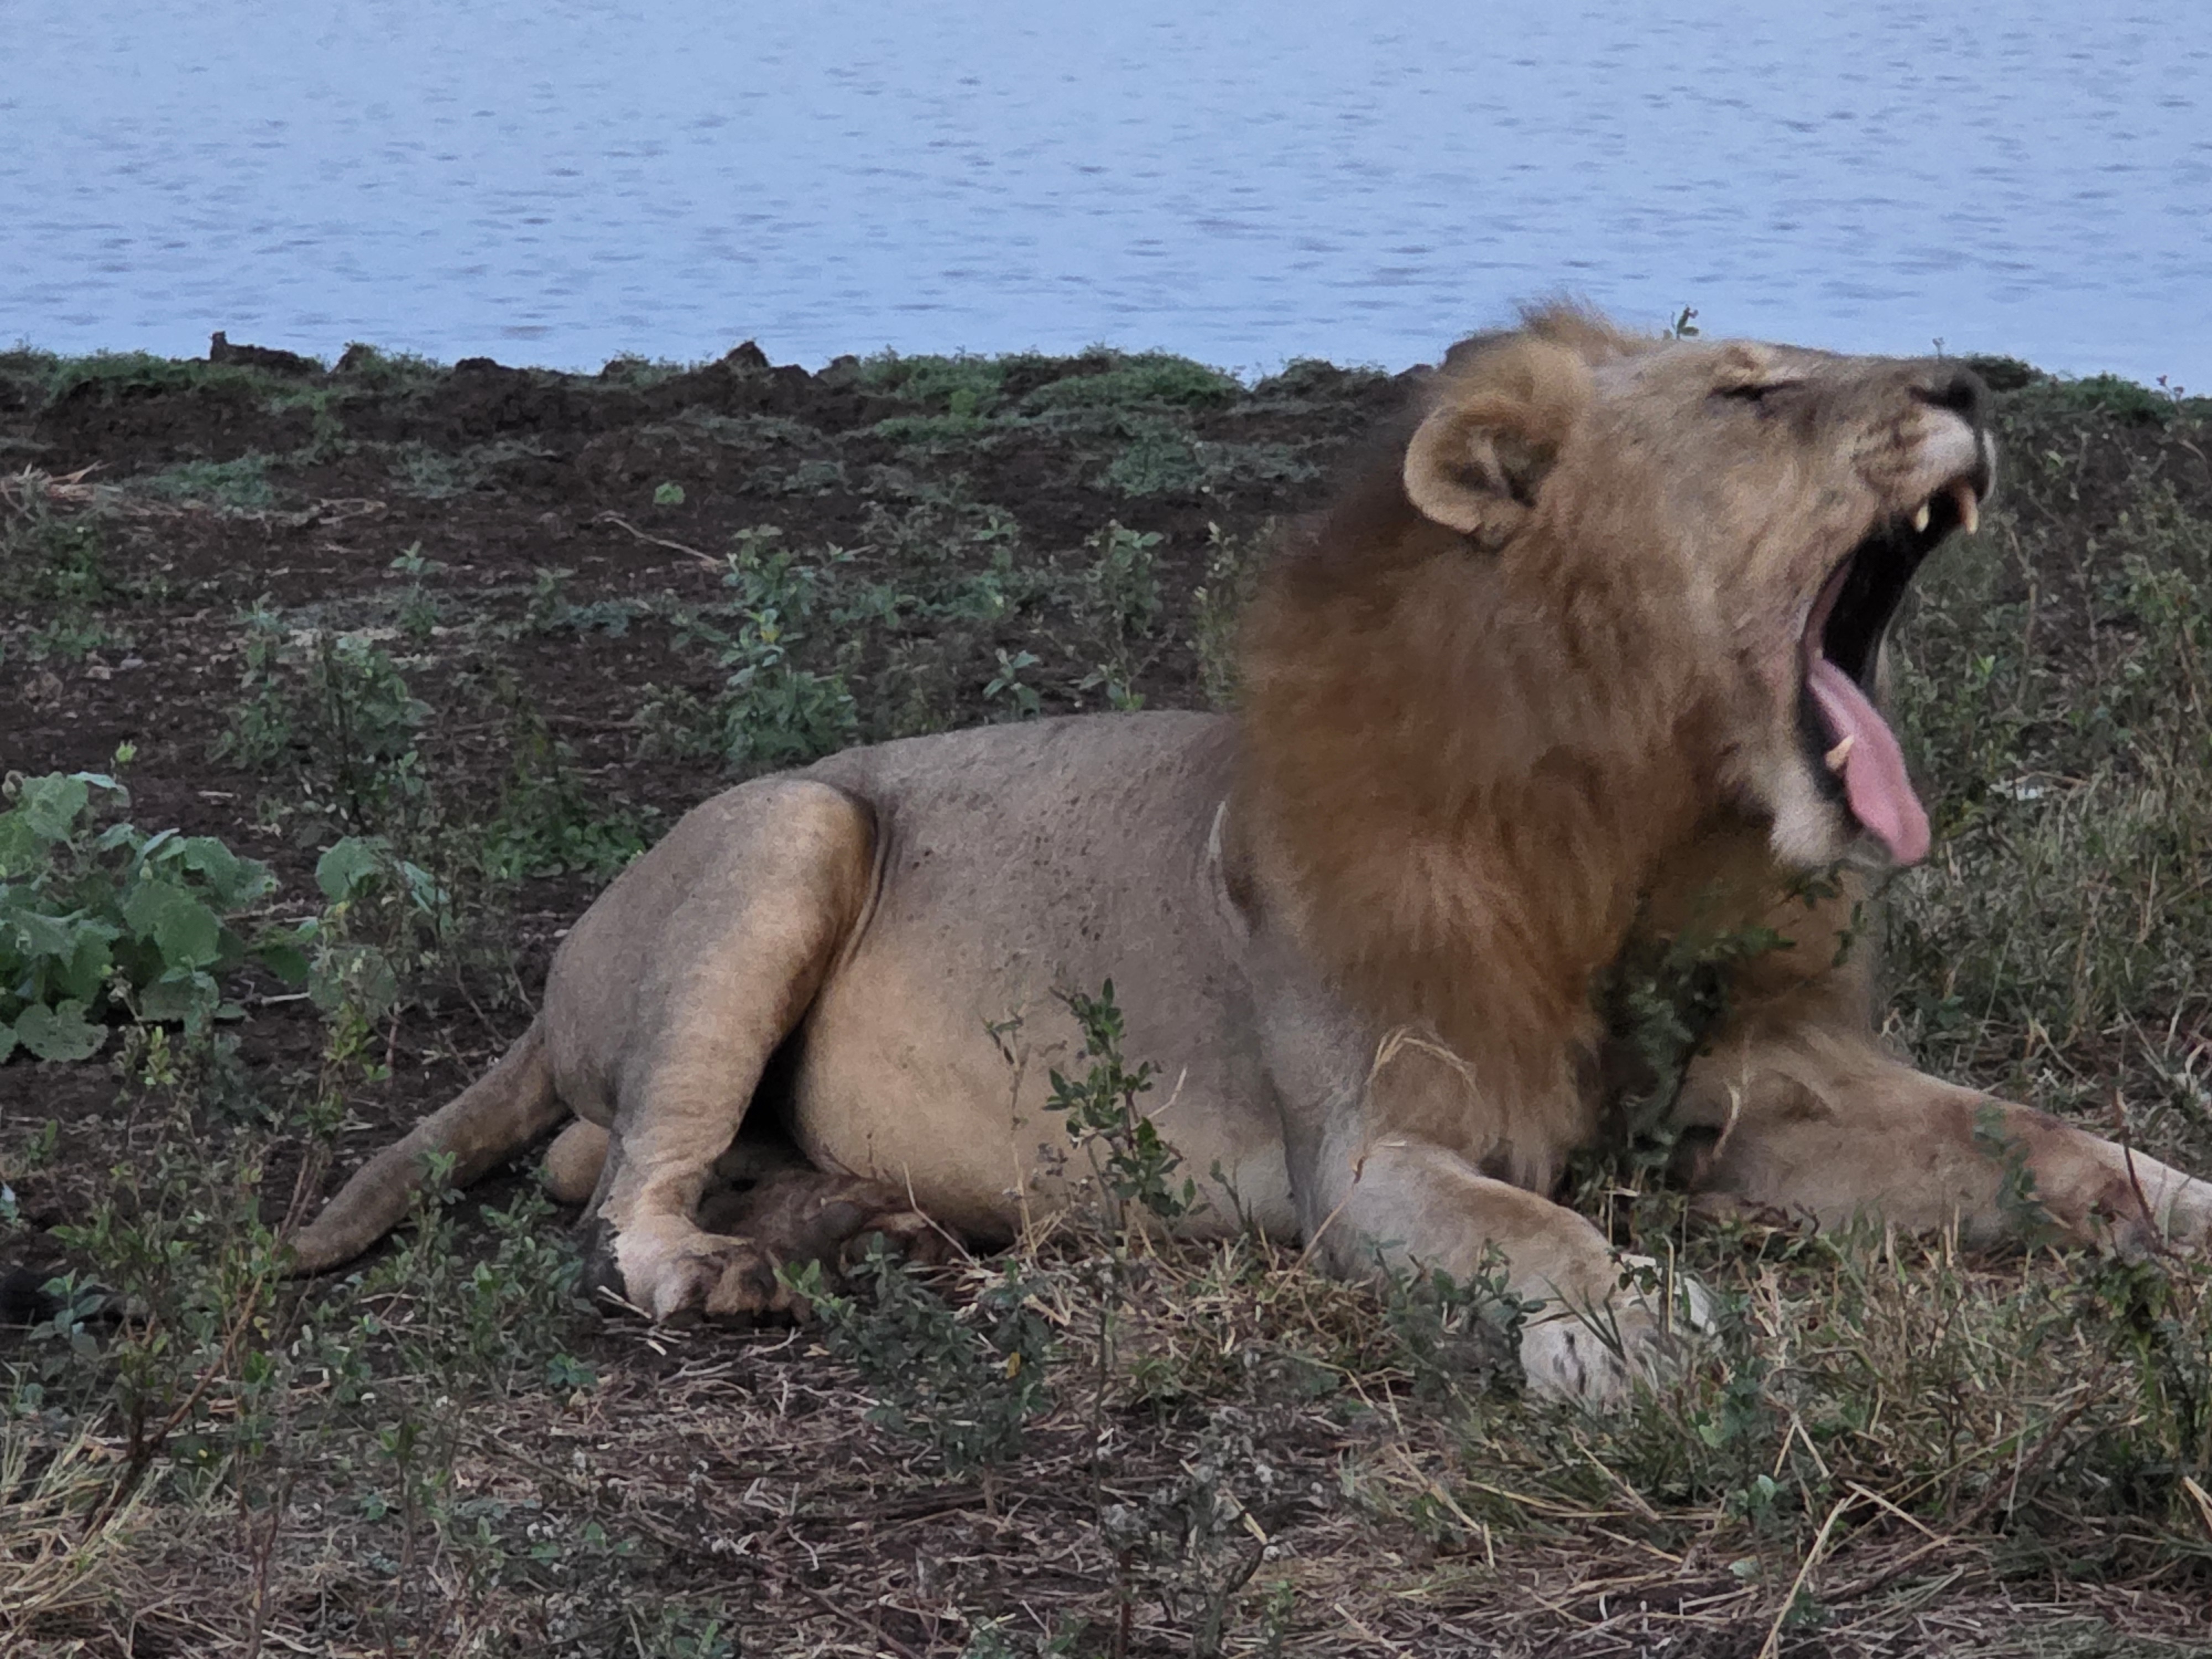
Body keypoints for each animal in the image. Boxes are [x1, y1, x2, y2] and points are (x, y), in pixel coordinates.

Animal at [290, 309, 2212, 1401]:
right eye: (1752, 392)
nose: (1969, 382)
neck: (1631, 823)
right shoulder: (1365, 1156)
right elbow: (1544, 1236)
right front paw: (1645, 1336)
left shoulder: (1764, 1101)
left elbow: (2059, 1145)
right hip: (792, 827)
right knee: (615, 1198)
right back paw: (728, 1268)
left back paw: (865, 1225)